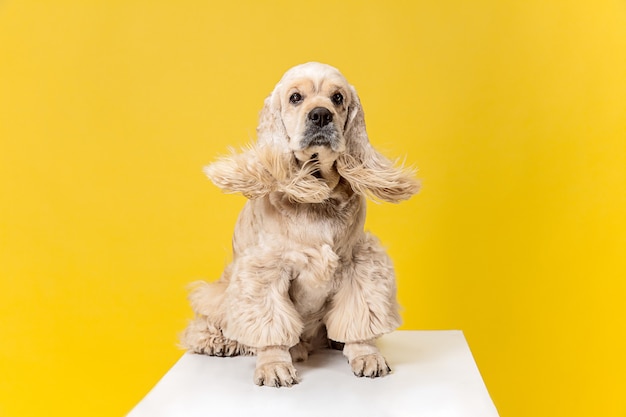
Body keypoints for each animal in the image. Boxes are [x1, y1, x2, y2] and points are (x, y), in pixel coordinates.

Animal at [178, 62, 416, 386]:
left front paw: (366, 355)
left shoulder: (359, 262)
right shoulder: (266, 269)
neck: (315, 192)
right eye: (295, 98)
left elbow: (359, 317)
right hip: (218, 293)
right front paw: (274, 365)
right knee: (205, 324)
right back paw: (220, 342)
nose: (321, 115)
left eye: (338, 98)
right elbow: (270, 326)